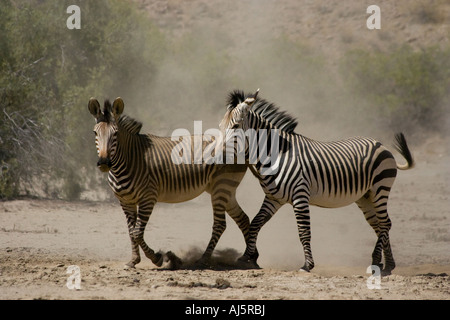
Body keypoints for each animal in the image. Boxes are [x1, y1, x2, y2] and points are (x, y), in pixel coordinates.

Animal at [87, 96, 250, 268]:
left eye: (116, 134)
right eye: (95, 133)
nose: (104, 163)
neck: (129, 160)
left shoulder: (148, 198)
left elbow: (137, 233)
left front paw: (157, 258)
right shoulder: (125, 201)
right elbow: (131, 232)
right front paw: (133, 260)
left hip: (221, 186)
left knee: (220, 224)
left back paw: (203, 260)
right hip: (226, 189)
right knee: (243, 219)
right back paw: (250, 259)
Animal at [220, 90, 414, 276]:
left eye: (235, 126)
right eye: (221, 127)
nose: (219, 153)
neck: (278, 154)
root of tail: (380, 144)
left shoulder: (300, 196)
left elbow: (304, 232)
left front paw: (307, 265)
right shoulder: (274, 198)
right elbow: (255, 223)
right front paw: (246, 257)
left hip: (380, 188)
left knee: (385, 223)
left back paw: (377, 261)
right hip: (365, 196)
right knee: (380, 224)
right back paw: (388, 265)